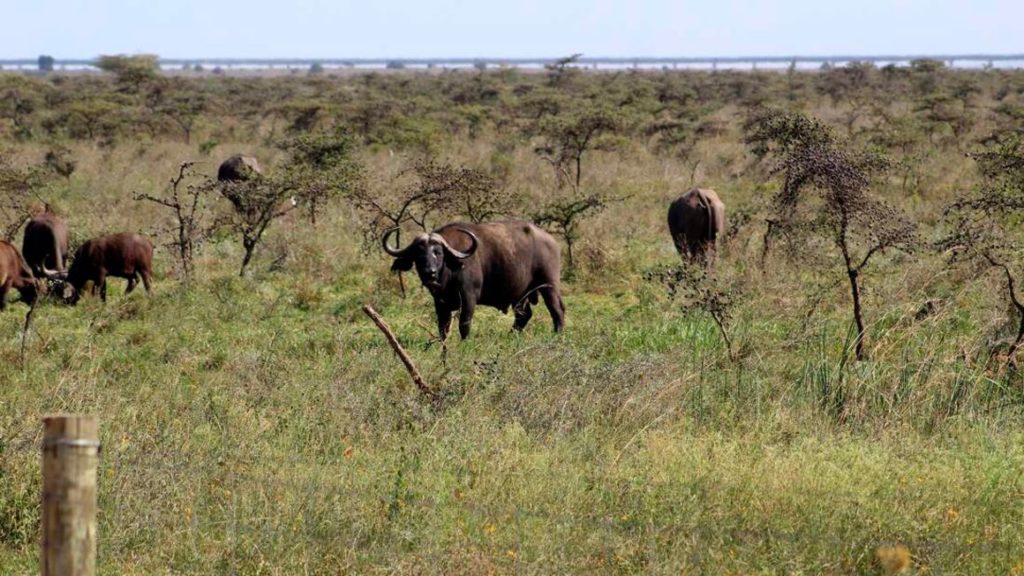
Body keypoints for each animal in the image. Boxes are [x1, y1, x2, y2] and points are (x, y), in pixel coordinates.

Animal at [385, 218, 565, 336]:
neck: (449, 272)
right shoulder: (440, 302)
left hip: (549, 286)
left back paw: (557, 335)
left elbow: (464, 324)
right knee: (523, 315)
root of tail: (551, 241)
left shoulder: (469, 297)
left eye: (438, 253)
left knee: (557, 311)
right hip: (520, 294)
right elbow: (443, 326)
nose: (430, 272)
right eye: (419, 254)